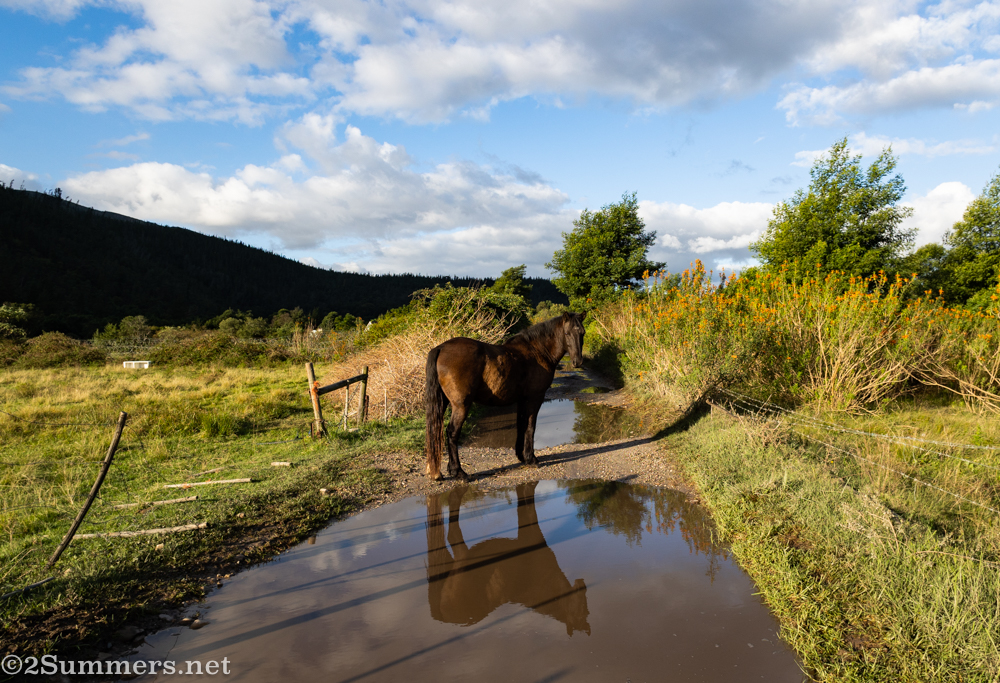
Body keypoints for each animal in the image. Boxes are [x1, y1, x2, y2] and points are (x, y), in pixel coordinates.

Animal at [425, 312, 586, 481]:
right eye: (567, 333)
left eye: (582, 333)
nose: (578, 361)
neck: (538, 351)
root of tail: (441, 348)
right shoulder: (535, 398)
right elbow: (530, 427)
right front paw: (531, 459)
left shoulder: (522, 400)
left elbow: (522, 425)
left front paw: (522, 456)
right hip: (461, 405)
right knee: (452, 432)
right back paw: (459, 472)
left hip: (443, 402)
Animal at [425, 482, 591, 635]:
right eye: (581, 611)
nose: (582, 585)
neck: (547, 583)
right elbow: (530, 503)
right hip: (463, 565)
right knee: (453, 534)